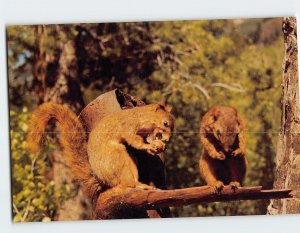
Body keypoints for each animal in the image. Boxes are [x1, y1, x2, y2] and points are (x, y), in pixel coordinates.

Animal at [27, 103, 175, 201]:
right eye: (165, 123)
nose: (167, 140)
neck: (142, 117)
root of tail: (101, 178)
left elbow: (148, 138)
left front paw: (158, 146)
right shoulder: (128, 126)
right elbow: (134, 140)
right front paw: (148, 147)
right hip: (117, 157)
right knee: (126, 183)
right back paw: (141, 186)